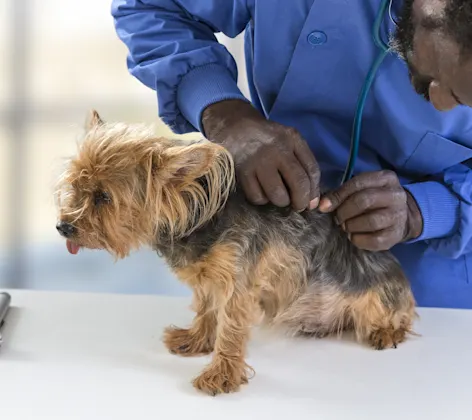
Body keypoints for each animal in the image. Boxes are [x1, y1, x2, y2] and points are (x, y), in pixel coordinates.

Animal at [56, 110, 416, 396]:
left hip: (380, 295)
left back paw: (387, 331)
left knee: (404, 315)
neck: (197, 218)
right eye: (75, 186)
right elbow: (206, 309)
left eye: (104, 197)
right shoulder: (209, 277)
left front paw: (221, 374)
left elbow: (229, 326)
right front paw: (196, 340)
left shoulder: (239, 283)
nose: (63, 227)